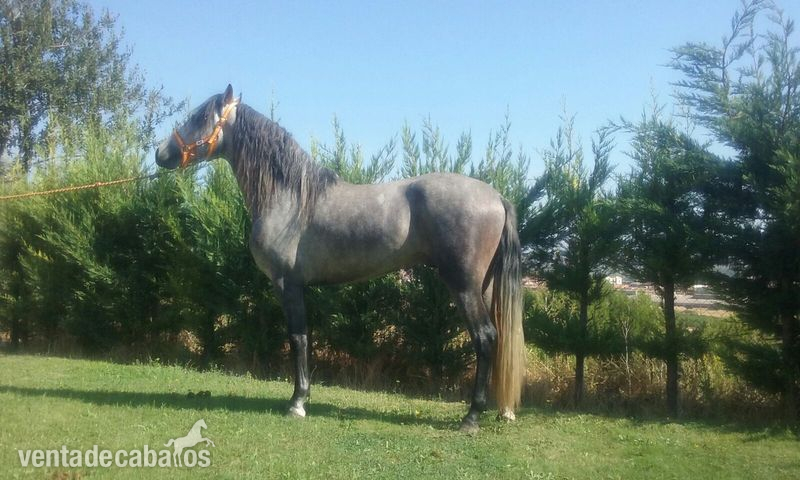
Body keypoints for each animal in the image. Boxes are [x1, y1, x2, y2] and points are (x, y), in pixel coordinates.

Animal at [155, 85, 525, 433]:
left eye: (199, 118)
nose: (161, 154)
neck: (291, 199)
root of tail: (496, 197)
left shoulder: (287, 284)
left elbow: (298, 339)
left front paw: (297, 403)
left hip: (463, 286)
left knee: (485, 337)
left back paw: (472, 417)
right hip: (483, 287)